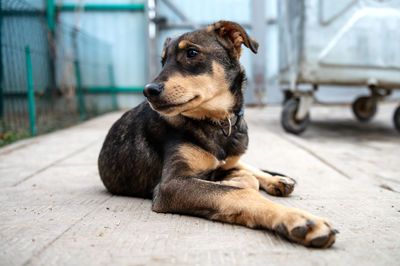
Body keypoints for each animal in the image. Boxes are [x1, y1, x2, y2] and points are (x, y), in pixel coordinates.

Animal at [97, 20, 338, 247]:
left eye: (192, 53)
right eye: (163, 61)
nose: (148, 91)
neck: (217, 122)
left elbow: (245, 179)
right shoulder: (171, 185)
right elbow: (241, 190)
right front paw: (301, 220)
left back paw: (277, 179)